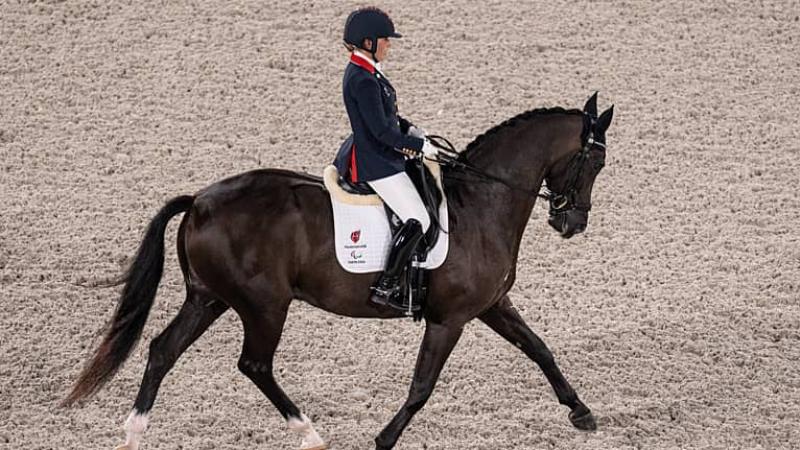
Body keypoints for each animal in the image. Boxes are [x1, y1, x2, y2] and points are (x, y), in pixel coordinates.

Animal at [65, 93, 616, 448]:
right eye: (594, 164)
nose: (572, 222)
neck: (480, 203)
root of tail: (199, 201)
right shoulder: (450, 319)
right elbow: (422, 386)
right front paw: (384, 438)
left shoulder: (491, 305)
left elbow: (539, 349)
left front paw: (581, 412)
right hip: (264, 305)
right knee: (254, 364)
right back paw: (310, 434)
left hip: (209, 298)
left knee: (163, 350)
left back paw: (134, 433)